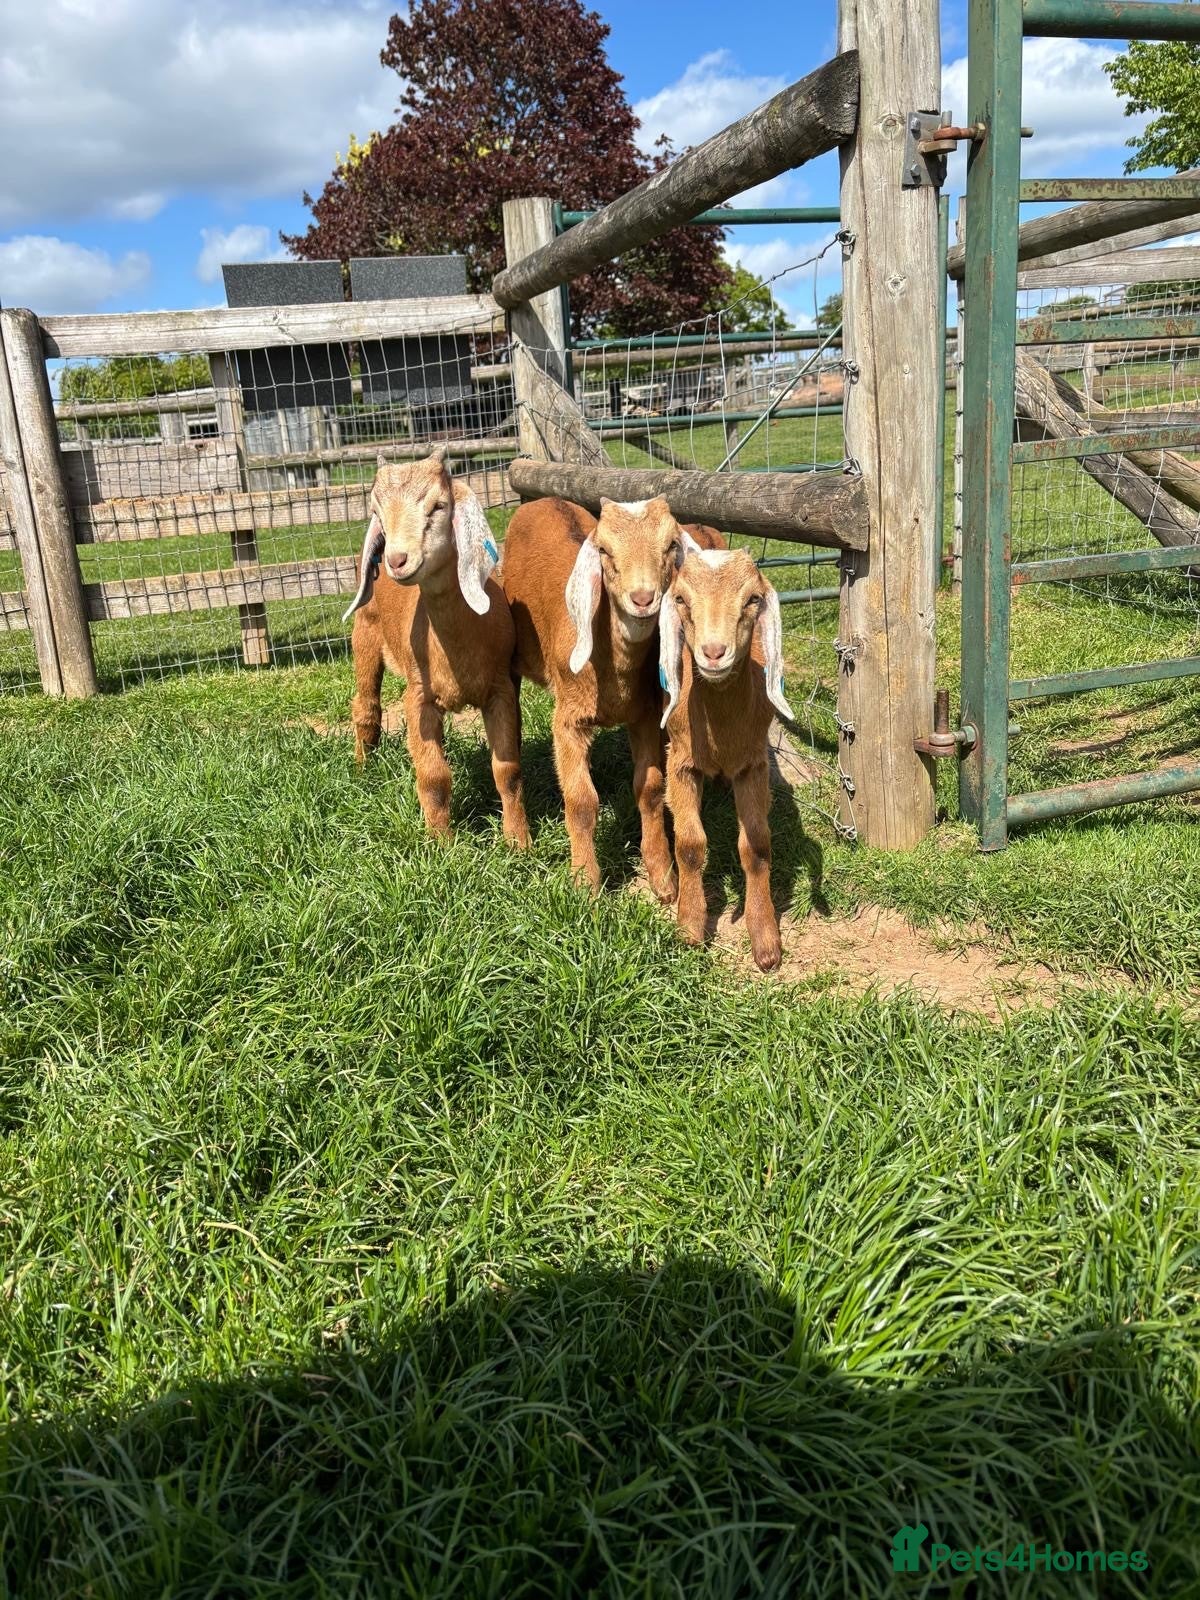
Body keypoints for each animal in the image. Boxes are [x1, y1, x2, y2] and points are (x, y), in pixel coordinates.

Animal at [342, 448, 529, 848]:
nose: (397, 560)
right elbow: (433, 775)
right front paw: (441, 844)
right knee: (366, 706)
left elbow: (507, 770)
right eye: (377, 512)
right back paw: (362, 770)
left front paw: (518, 843)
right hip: (365, 632)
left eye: (438, 506)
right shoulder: (419, 695)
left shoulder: (502, 689)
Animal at [502, 495, 723, 899]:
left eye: (671, 544)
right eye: (603, 550)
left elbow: (650, 790)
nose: (643, 598)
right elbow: (581, 801)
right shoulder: (568, 720)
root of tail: (542, 500)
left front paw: (663, 878)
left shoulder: (645, 714)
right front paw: (585, 885)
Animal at [659, 536, 793, 971]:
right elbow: (689, 845)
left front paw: (765, 941)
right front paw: (689, 926)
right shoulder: (680, 762)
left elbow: (757, 847)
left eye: (753, 599)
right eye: (681, 599)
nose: (714, 652)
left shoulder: (752, 765)